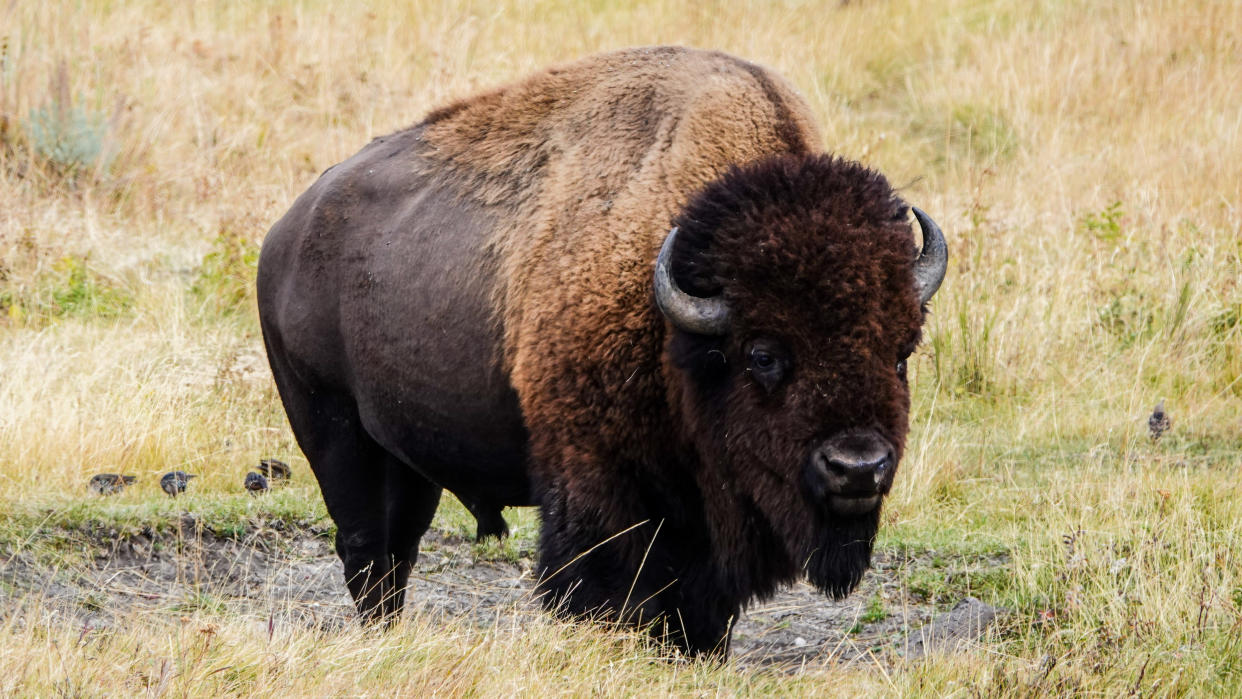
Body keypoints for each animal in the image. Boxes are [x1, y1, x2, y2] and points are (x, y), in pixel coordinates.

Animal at [257, 47, 943, 655]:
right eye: (763, 355)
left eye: (901, 352)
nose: (857, 467)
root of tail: (285, 235)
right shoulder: (594, 483)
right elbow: (600, 589)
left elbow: (699, 610)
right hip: (333, 430)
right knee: (365, 546)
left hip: (408, 459)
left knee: (398, 549)